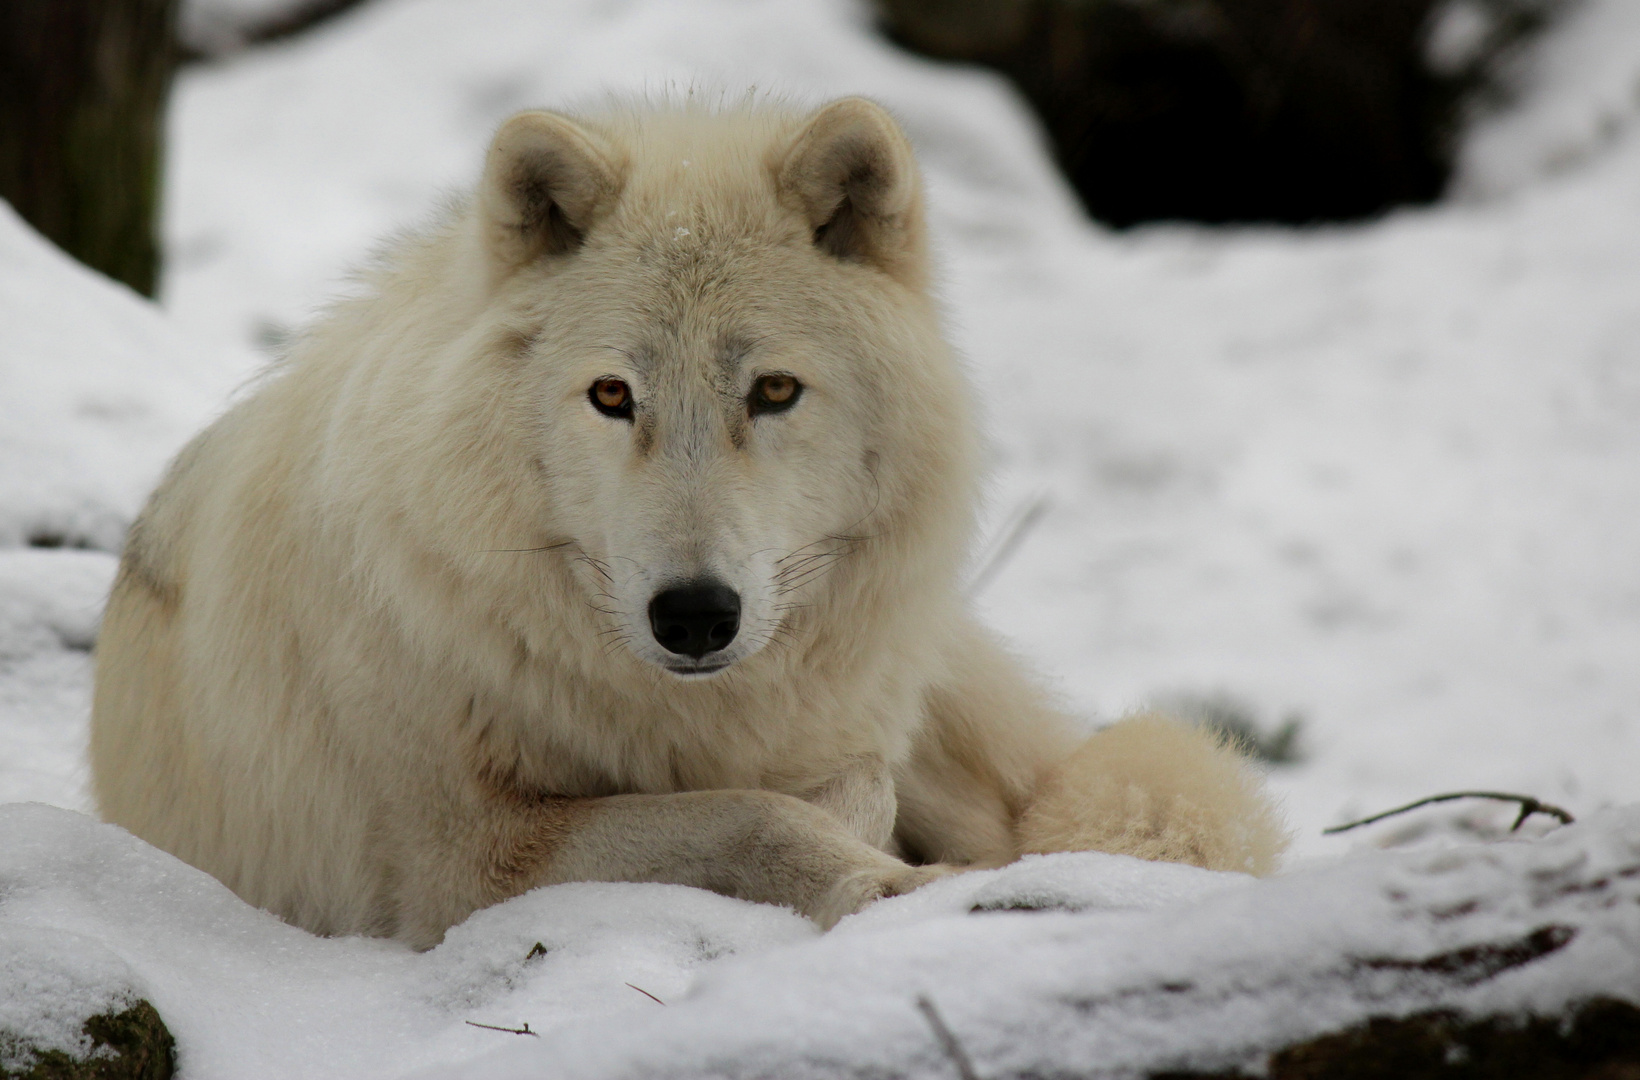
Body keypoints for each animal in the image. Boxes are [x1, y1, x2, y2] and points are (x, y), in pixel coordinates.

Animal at [89, 99, 1285, 943]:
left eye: (774, 391)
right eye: (612, 395)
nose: (696, 615)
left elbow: (840, 783)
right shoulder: (461, 865)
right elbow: (756, 813)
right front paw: (875, 880)